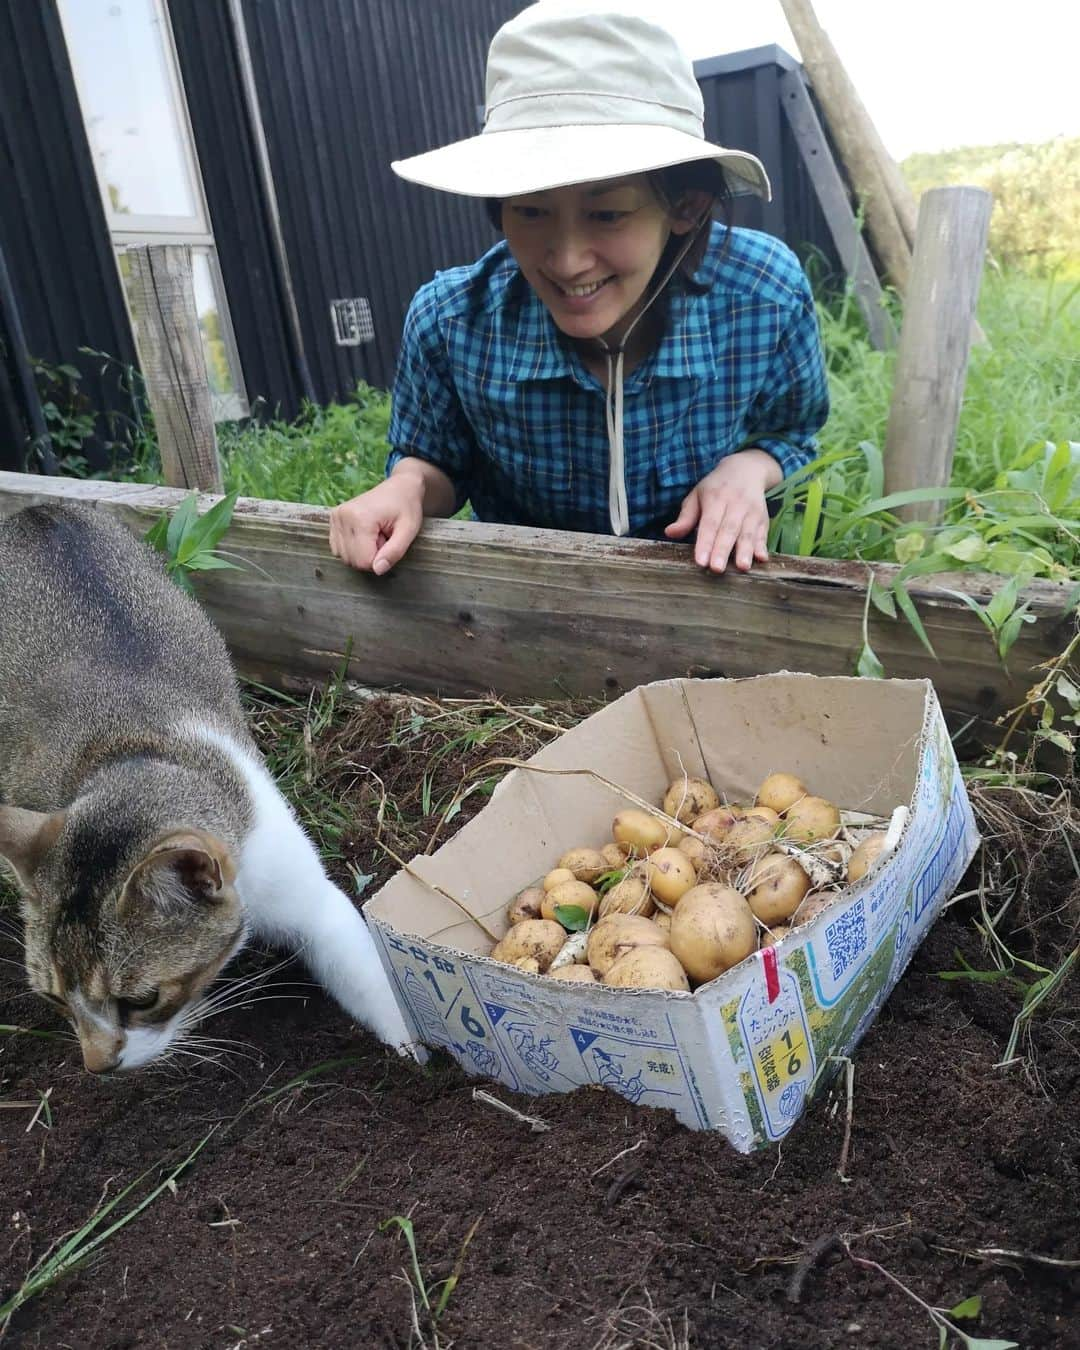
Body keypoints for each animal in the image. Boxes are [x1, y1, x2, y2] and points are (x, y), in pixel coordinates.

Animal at [0, 502, 413, 1069]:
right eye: (55, 999)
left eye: (142, 999)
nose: (98, 1067)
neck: (130, 755)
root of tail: (38, 509)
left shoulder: (305, 891)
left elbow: (372, 977)